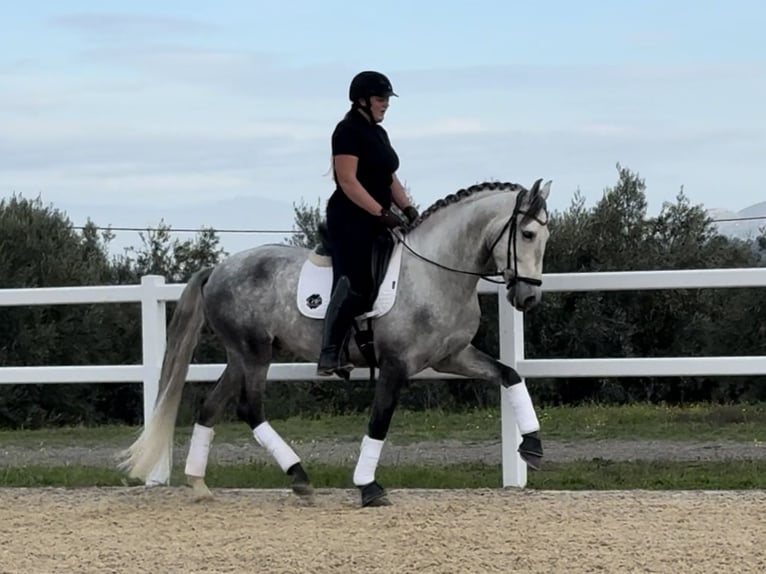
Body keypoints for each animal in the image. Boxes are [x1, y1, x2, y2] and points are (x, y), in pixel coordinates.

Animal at [118, 178, 553, 507]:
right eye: (528, 233)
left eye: (546, 235)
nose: (528, 298)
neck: (434, 272)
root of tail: (219, 268)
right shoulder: (395, 366)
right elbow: (379, 421)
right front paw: (368, 487)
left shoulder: (452, 356)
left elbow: (509, 375)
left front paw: (532, 446)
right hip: (253, 353)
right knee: (249, 408)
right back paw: (298, 476)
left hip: (242, 355)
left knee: (211, 407)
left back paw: (199, 484)